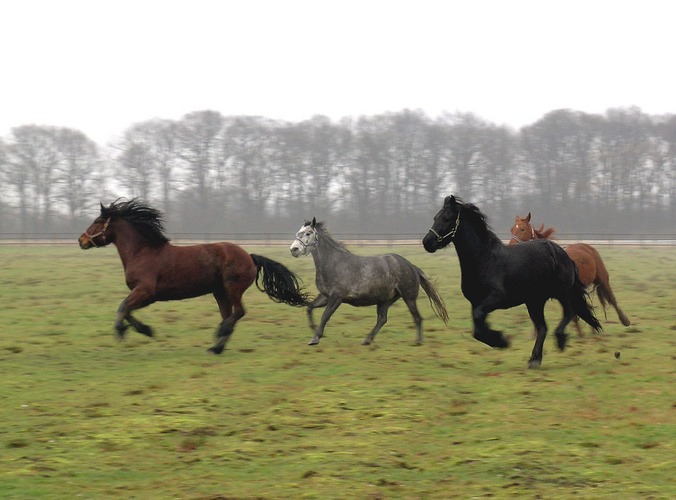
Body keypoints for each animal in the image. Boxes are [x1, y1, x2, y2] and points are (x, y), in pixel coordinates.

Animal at [79, 197, 308, 354]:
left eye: (98, 220)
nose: (81, 240)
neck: (142, 252)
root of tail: (249, 256)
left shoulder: (145, 291)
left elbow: (122, 307)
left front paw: (121, 331)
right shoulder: (147, 296)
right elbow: (127, 310)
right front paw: (146, 330)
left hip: (232, 289)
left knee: (238, 313)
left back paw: (219, 336)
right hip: (219, 292)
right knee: (228, 315)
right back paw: (216, 347)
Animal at [286, 217, 448, 346]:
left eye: (308, 233)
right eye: (297, 233)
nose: (293, 249)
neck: (333, 263)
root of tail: (411, 266)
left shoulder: (336, 297)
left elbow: (325, 316)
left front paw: (314, 338)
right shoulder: (325, 296)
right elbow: (310, 308)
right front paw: (316, 332)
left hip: (408, 297)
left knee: (417, 318)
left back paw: (418, 342)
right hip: (385, 300)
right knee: (382, 319)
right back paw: (367, 340)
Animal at [420, 195, 600, 368]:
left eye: (447, 219)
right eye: (435, 217)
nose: (427, 242)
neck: (484, 260)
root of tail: (560, 252)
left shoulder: (497, 298)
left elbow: (478, 320)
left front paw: (501, 340)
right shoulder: (476, 302)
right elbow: (477, 329)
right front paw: (499, 340)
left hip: (562, 292)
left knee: (569, 312)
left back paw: (560, 339)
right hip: (534, 301)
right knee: (543, 327)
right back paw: (534, 359)